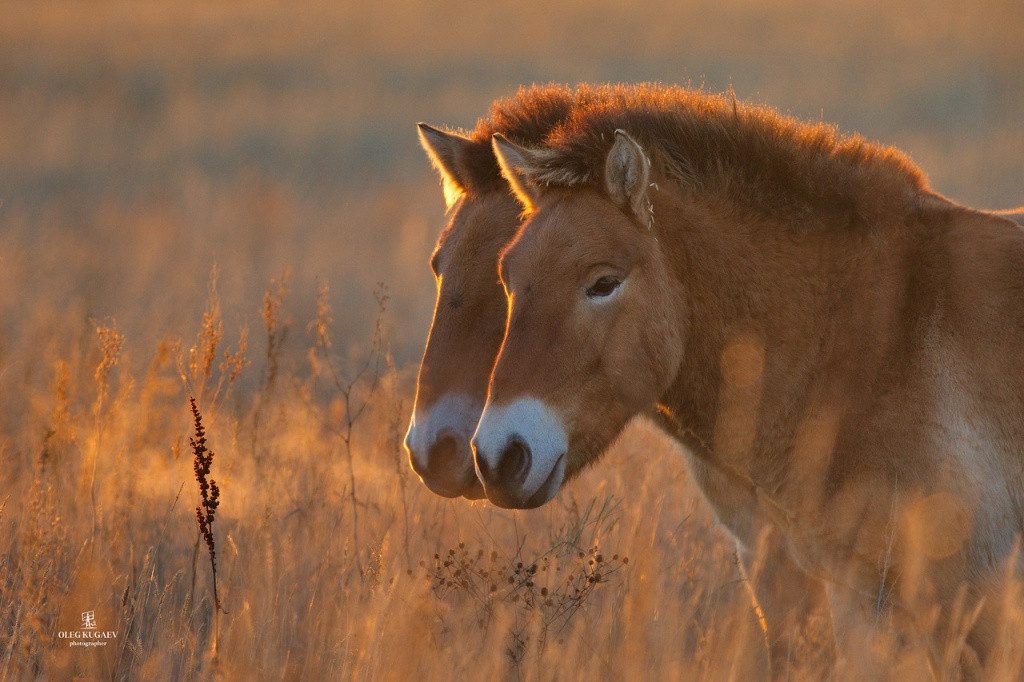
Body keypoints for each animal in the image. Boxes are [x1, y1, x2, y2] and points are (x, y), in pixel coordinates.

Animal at [473, 84, 1024, 675]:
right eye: (508, 278)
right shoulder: (853, 596)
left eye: (603, 282)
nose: (499, 456)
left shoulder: (964, 599)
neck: (872, 339)